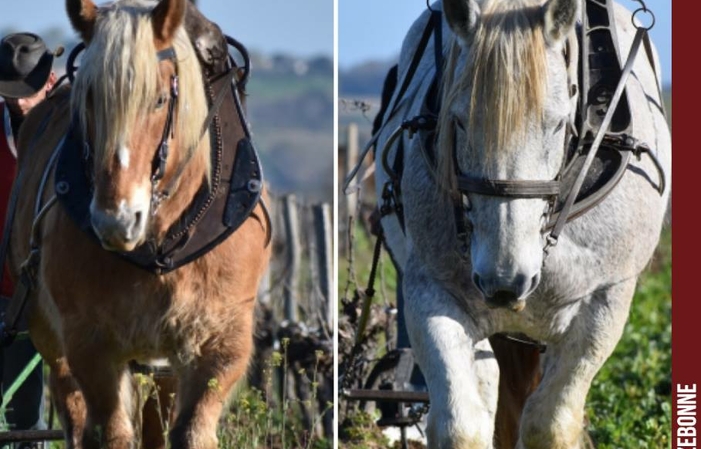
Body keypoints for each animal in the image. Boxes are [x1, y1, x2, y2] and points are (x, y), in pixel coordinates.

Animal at [8, 0, 270, 448]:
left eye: (161, 99)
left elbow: (190, 431)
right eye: (89, 100)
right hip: (50, 334)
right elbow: (110, 432)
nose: (115, 221)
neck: (160, 245)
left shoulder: (219, 341)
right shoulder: (90, 345)